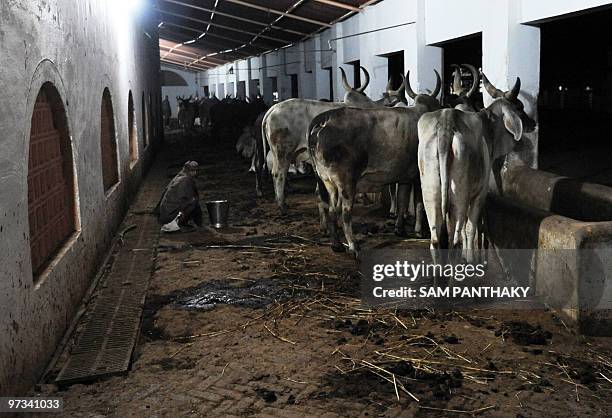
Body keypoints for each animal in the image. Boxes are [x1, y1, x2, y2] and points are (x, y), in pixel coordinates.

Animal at [262, 68, 406, 214]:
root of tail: (273, 109)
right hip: (283, 151)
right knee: (279, 174)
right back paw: (282, 206)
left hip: (277, 152)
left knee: (275, 173)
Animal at [308, 69, 442, 255]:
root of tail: (322, 123)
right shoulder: (418, 176)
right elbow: (419, 203)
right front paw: (419, 232)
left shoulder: (405, 177)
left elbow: (402, 201)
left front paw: (399, 229)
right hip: (346, 182)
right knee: (345, 213)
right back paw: (353, 246)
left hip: (327, 181)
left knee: (332, 210)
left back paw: (336, 245)